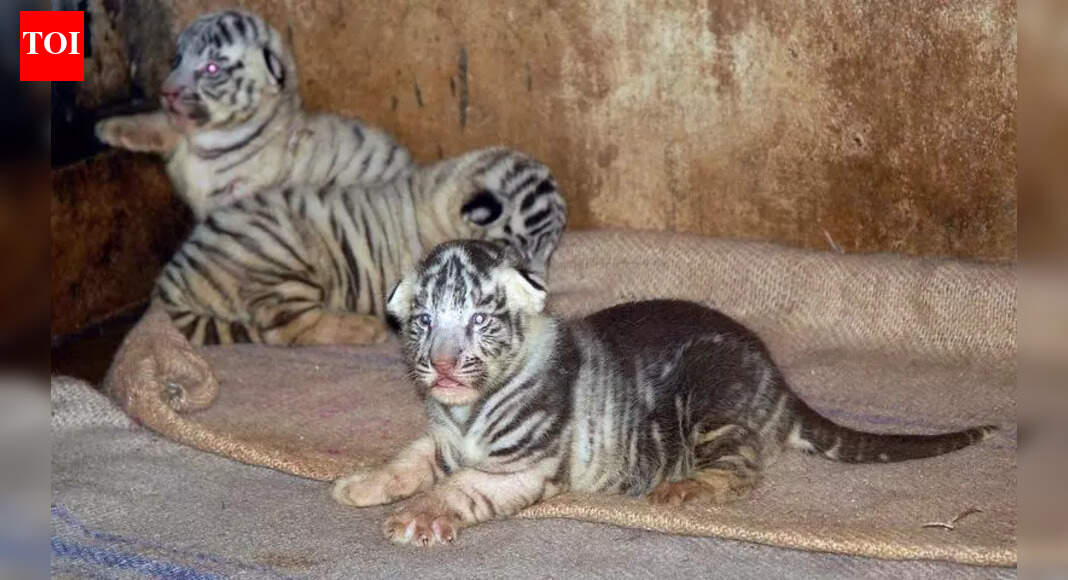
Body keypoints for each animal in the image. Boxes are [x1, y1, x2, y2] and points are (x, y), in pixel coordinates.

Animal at [95, 9, 412, 219]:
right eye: (177, 60)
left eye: (211, 68)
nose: (166, 91)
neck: (210, 142)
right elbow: (161, 124)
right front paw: (109, 127)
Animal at [154, 148, 566, 347]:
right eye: (518, 249)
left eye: (550, 249)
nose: (543, 287)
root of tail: (174, 277)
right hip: (281, 259)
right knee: (290, 329)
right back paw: (365, 329)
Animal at [330, 239, 998, 547]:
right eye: (423, 321)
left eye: (478, 320)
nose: (443, 366)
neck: (464, 410)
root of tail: (772, 371)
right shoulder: (438, 435)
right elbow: (410, 458)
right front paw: (360, 484)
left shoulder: (523, 465)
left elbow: (458, 486)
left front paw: (415, 517)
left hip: (709, 401)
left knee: (744, 467)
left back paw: (684, 489)